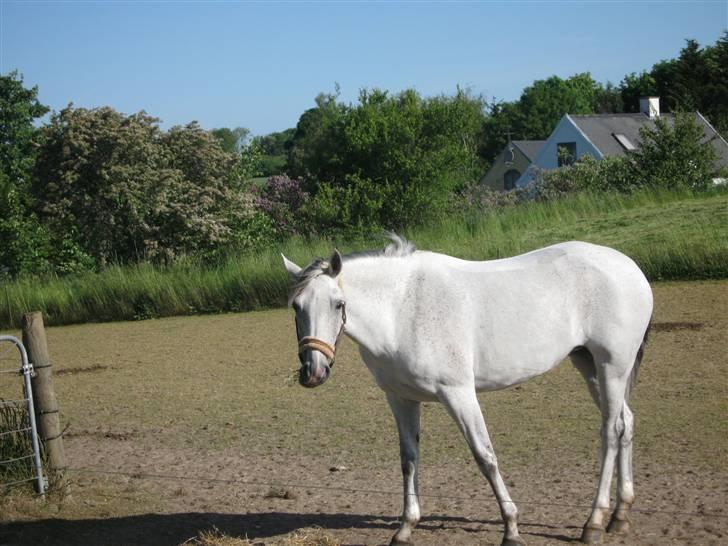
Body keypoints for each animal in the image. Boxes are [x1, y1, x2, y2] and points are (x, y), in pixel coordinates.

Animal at [282, 235, 656, 544]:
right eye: (296, 306)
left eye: (338, 304)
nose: (314, 372)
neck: (402, 308)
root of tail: (630, 267)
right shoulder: (401, 398)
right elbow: (409, 459)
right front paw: (405, 528)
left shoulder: (458, 393)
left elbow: (485, 456)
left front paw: (511, 528)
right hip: (590, 366)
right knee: (627, 423)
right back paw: (620, 515)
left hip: (612, 367)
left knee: (611, 431)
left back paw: (594, 523)